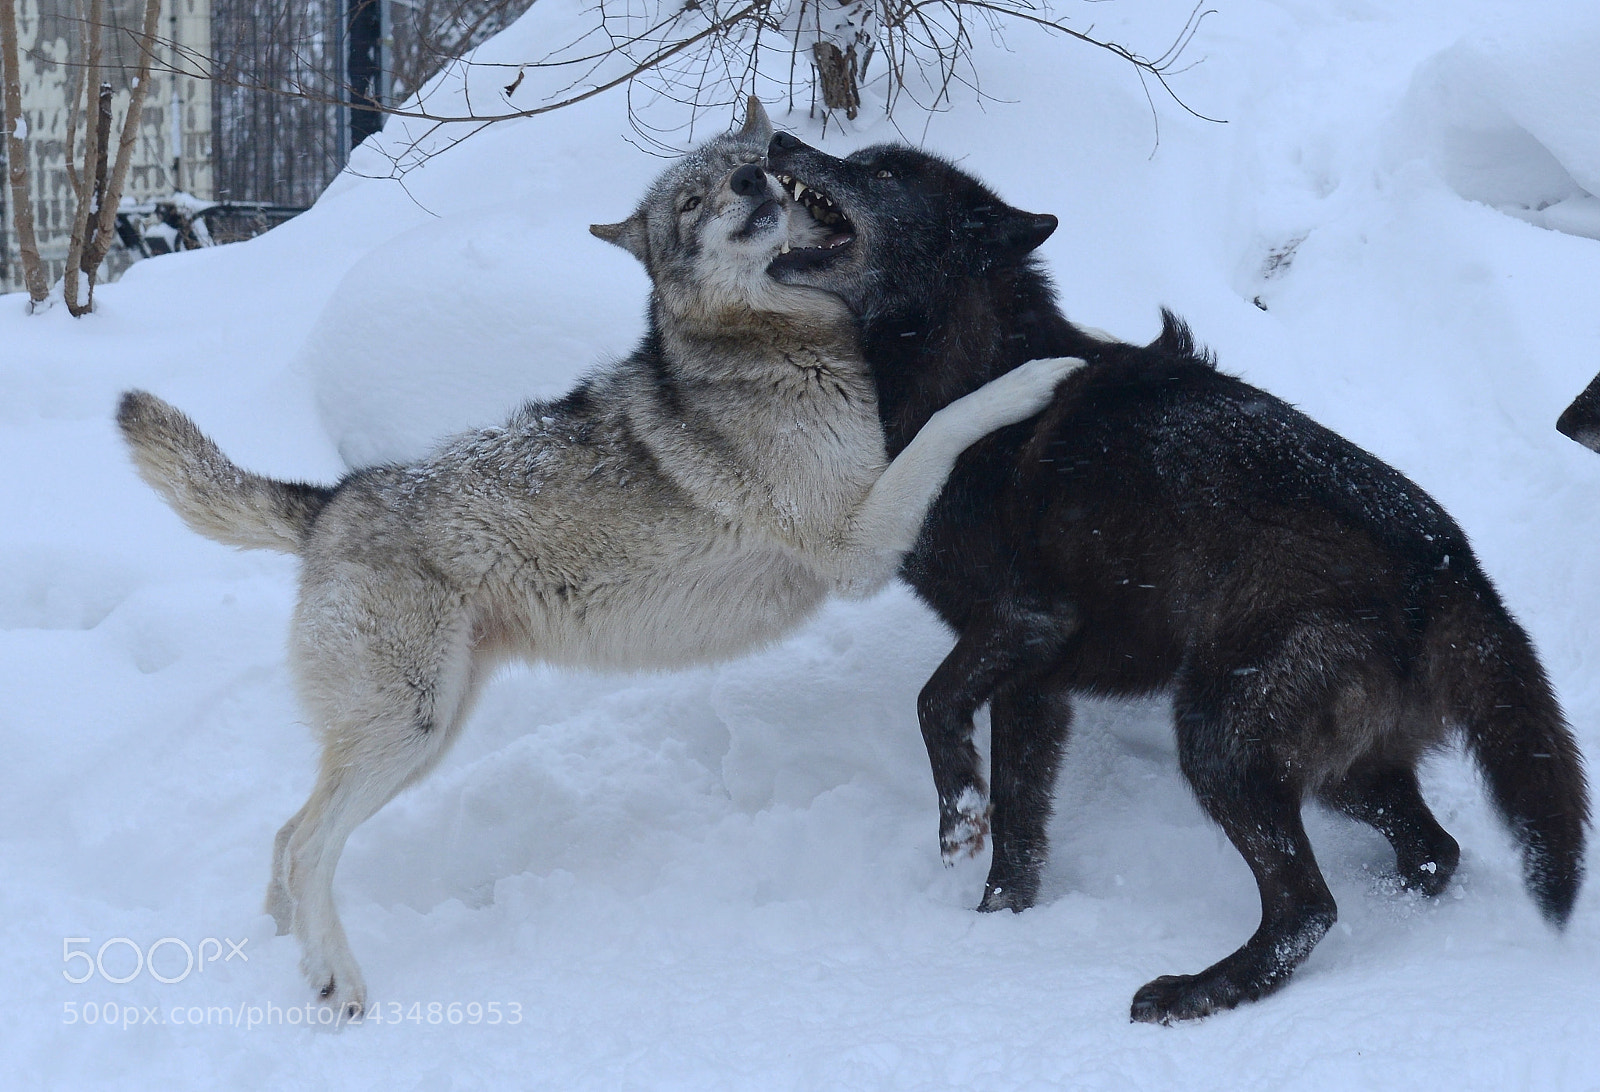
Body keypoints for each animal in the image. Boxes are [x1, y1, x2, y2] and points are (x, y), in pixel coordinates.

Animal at [116, 102, 1080, 1019]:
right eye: (693, 204)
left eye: (751, 166)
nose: (754, 175)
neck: (784, 348)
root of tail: (331, 499)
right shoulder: (855, 549)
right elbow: (949, 422)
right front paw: (1039, 376)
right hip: (410, 728)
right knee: (308, 844)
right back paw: (335, 983)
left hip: (426, 733)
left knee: (286, 838)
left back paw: (283, 957)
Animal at [763, 132, 1589, 1023]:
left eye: (884, 172)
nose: (779, 139)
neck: (967, 366)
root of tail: (1448, 564)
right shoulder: (1033, 683)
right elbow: (1020, 824)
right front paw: (998, 922)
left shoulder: (1029, 619)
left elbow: (933, 704)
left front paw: (957, 819)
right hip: (1338, 771)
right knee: (1434, 851)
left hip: (1217, 739)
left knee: (1309, 907)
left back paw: (1195, 992)